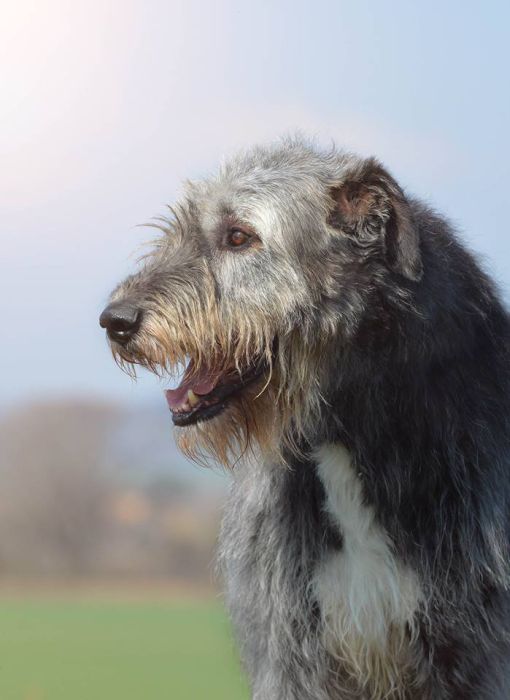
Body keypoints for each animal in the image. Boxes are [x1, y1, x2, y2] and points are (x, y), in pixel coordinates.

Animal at [98, 139, 510, 696]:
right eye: (178, 228)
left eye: (239, 236)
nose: (115, 321)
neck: (343, 440)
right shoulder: (290, 654)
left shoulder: (478, 658)